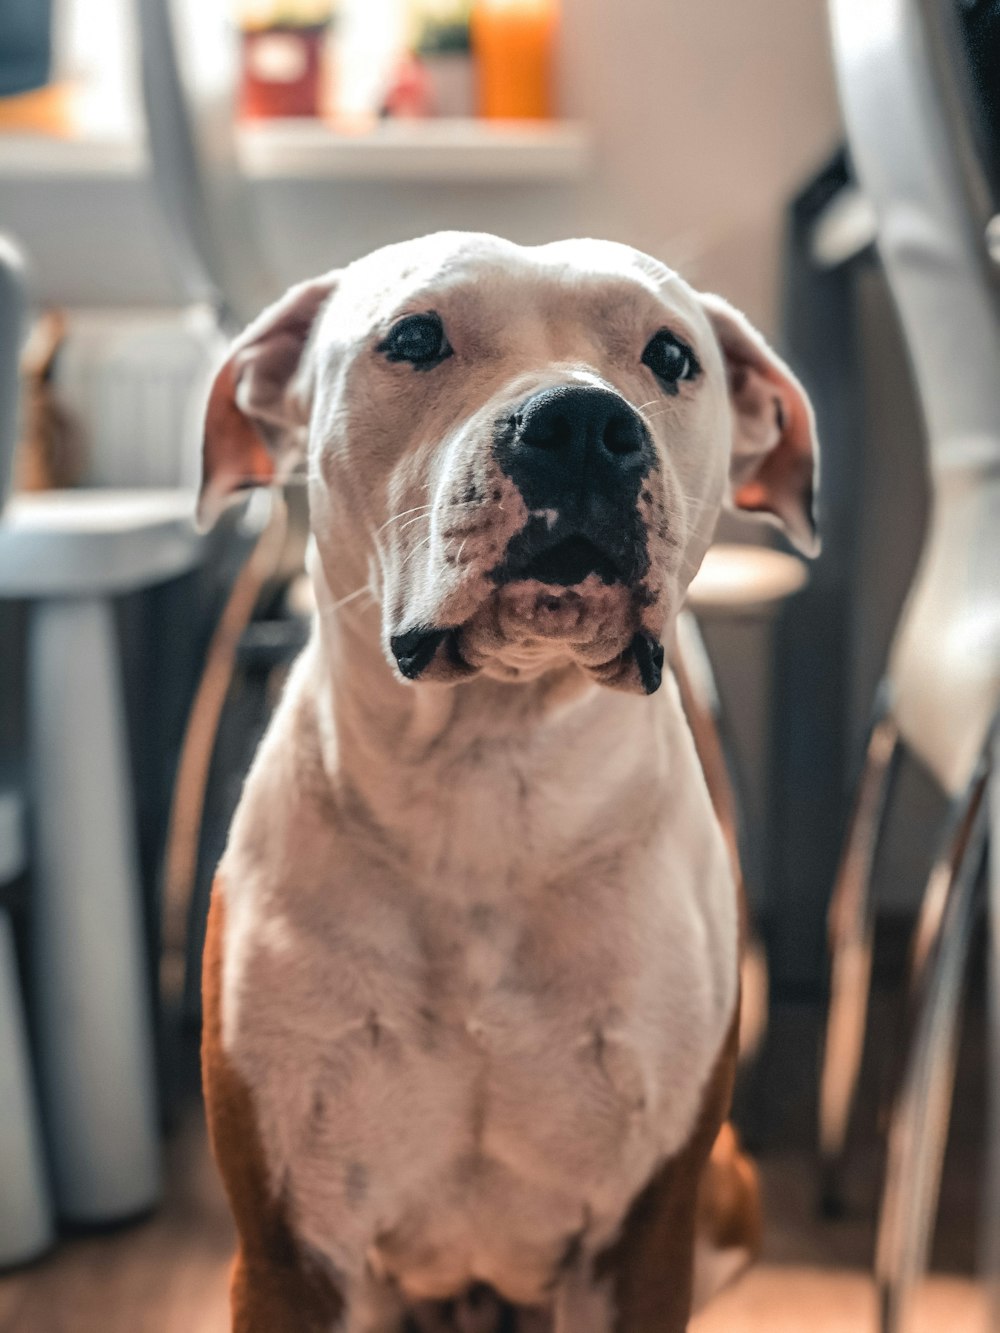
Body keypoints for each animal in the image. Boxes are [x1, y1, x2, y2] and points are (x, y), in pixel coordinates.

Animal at [200, 234, 816, 1327]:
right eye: (413, 338)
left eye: (671, 356)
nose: (582, 425)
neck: (486, 779)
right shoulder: (289, 1250)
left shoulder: (643, 1243)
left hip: (724, 1195)